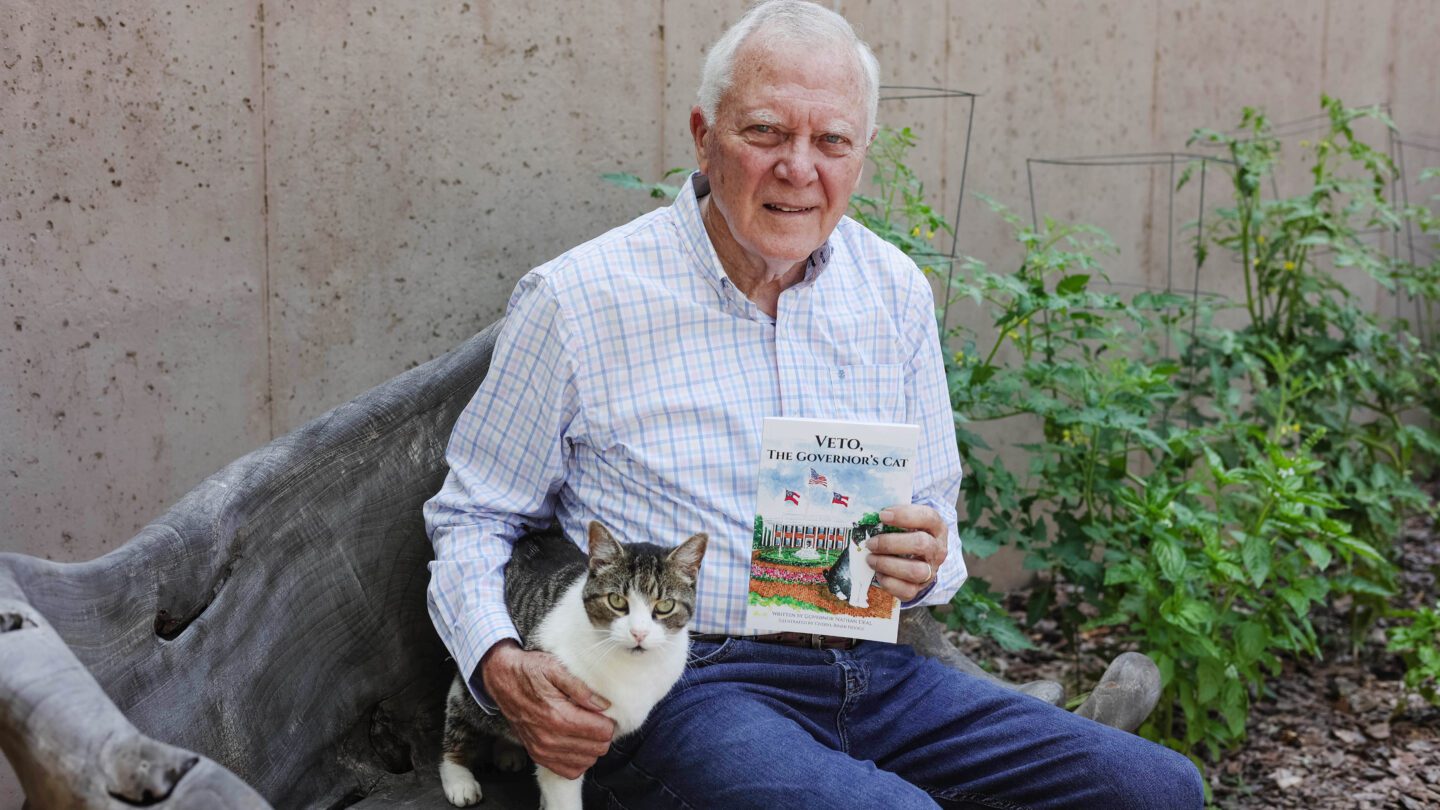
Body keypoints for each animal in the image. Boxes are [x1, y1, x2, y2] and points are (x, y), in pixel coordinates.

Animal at [440, 518, 705, 801]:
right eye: (616, 600)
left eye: (665, 606)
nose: (639, 633)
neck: (632, 669)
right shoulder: (563, 738)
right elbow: (562, 796)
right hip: (471, 696)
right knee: (460, 717)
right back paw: (458, 776)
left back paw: (507, 750)